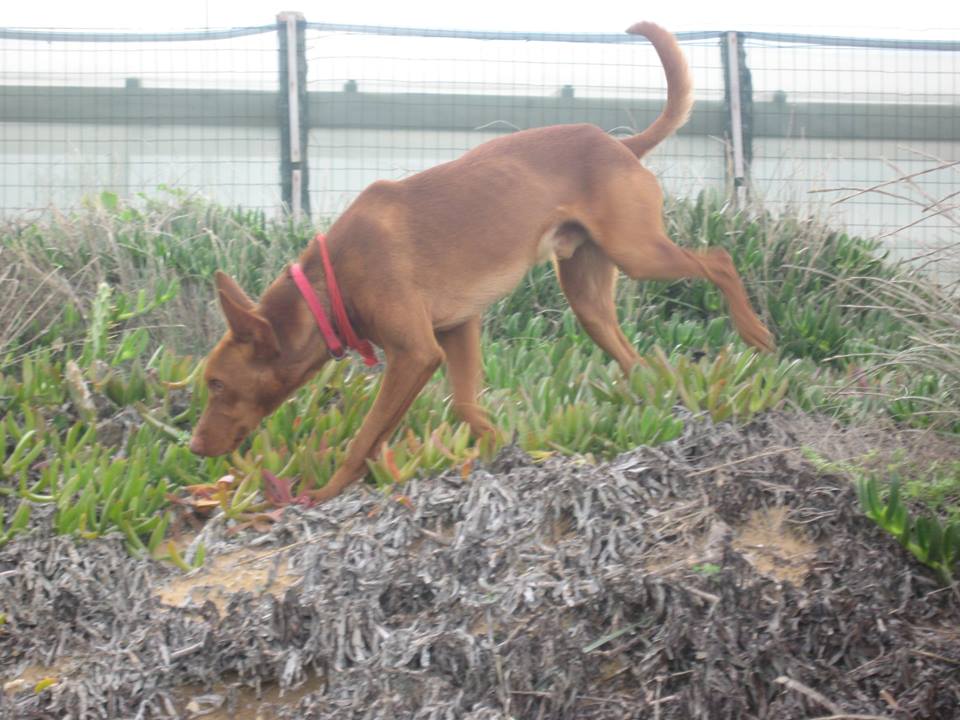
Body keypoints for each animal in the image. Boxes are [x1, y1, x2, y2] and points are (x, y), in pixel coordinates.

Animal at [191, 23, 776, 506]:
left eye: (216, 384)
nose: (194, 446)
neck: (331, 280)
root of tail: (621, 146)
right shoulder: (458, 328)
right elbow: (466, 407)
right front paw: (507, 449)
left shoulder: (415, 353)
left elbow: (366, 436)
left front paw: (327, 492)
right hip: (588, 298)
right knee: (637, 360)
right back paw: (655, 401)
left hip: (640, 253)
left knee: (720, 260)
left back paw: (756, 335)